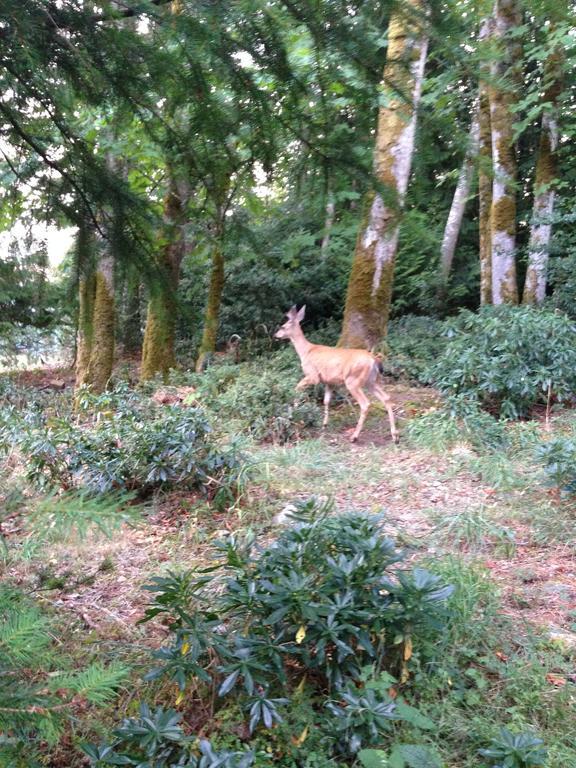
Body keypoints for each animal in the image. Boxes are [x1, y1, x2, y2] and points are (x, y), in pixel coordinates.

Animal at [274, 306, 398, 444]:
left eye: (283, 326)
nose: (275, 335)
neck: (306, 351)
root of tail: (374, 359)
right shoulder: (329, 382)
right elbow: (326, 401)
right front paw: (324, 424)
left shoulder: (313, 375)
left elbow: (297, 388)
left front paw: (292, 413)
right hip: (371, 381)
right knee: (386, 398)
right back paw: (395, 436)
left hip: (353, 381)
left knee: (365, 403)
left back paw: (354, 436)